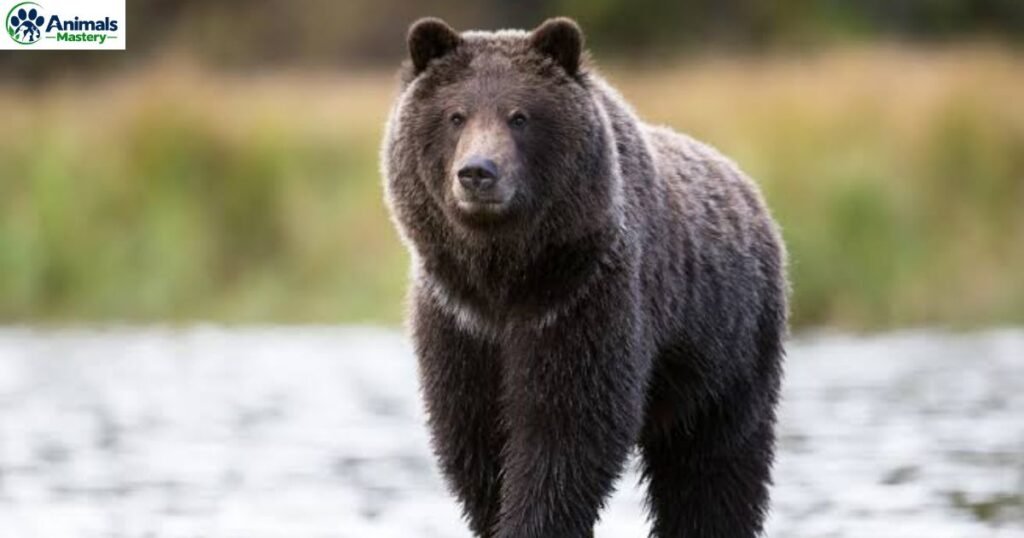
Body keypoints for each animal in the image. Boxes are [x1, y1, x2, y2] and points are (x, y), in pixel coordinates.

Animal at [381, 16, 788, 538]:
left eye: (519, 116)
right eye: (456, 115)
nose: (477, 172)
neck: (505, 277)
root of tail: (747, 188)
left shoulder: (583, 297)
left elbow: (565, 431)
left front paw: (534, 520)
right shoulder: (458, 320)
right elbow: (475, 437)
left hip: (728, 350)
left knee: (714, 467)